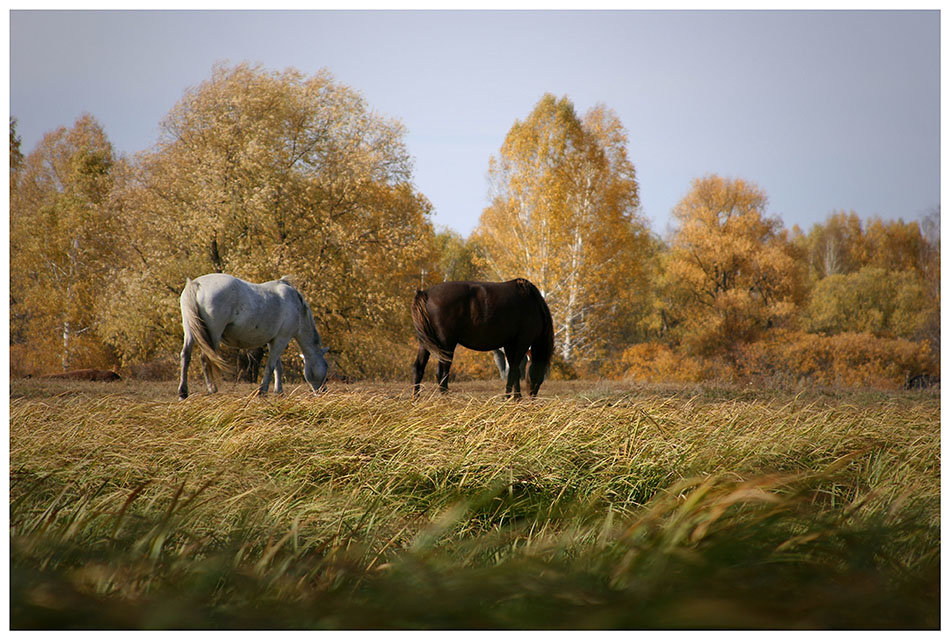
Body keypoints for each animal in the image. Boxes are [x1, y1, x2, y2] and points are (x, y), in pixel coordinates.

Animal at [179, 272, 330, 398]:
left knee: (186, 356)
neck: (296, 305)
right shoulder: (282, 339)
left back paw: (183, 392)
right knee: (206, 358)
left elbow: (277, 367)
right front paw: (262, 391)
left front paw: (279, 391)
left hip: (190, 331)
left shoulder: (273, 340)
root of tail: (196, 284)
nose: (323, 391)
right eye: (326, 366)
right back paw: (212, 389)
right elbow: (270, 366)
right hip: (213, 333)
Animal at [410, 278, 556, 398]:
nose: (532, 396)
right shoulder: (521, 342)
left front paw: (513, 397)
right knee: (442, 373)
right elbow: (514, 370)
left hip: (425, 344)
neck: (532, 303)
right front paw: (513, 398)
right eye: (540, 373)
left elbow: (513, 371)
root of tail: (425, 293)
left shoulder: (510, 345)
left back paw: (415, 399)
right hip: (446, 345)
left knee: (418, 368)